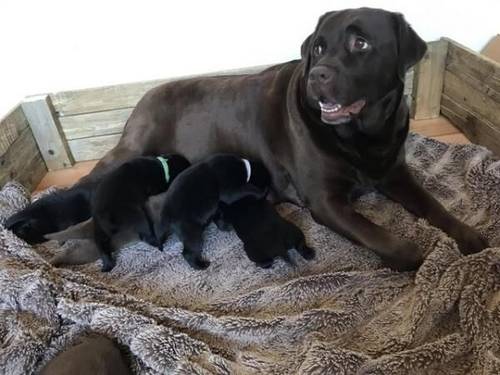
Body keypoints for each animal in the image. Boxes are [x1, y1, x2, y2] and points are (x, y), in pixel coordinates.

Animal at [5, 8, 486, 270]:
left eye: (361, 44)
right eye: (318, 47)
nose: (317, 75)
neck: (364, 135)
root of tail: (145, 96)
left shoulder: (394, 173)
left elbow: (434, 206)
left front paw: (469, 237)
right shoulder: (326, 200)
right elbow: (377, 232)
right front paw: (411, 255)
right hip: (131, 153)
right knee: (83, 195)